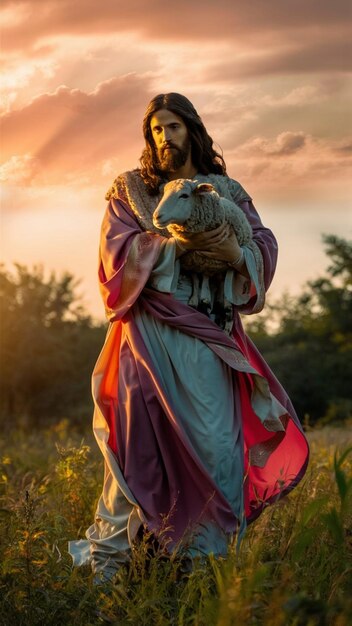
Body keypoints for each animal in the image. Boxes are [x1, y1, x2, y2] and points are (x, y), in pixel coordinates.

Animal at [151, 177, 253, 326]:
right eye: (163, 194)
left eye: (184, 195)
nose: (156, 217)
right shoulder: (192, 261)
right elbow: (195, 279)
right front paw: (195, 302)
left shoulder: (208, 262)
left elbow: (204, 279)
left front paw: (204, 303)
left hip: (228, 265)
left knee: (225, 282)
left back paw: (225, 311)